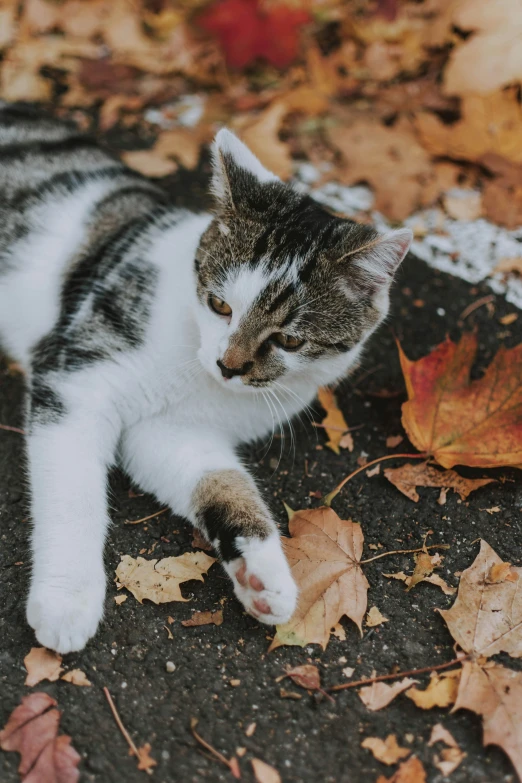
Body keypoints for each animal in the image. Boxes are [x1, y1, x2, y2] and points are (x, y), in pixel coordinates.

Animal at [0, 104, 410, 656]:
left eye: (289, 340)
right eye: (219, 304)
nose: (229, 364)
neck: (196, 369)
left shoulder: (170, 433)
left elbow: (221, 481)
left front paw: (263, 577)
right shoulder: (76, 377)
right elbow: (74, 495)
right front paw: (66, 602)